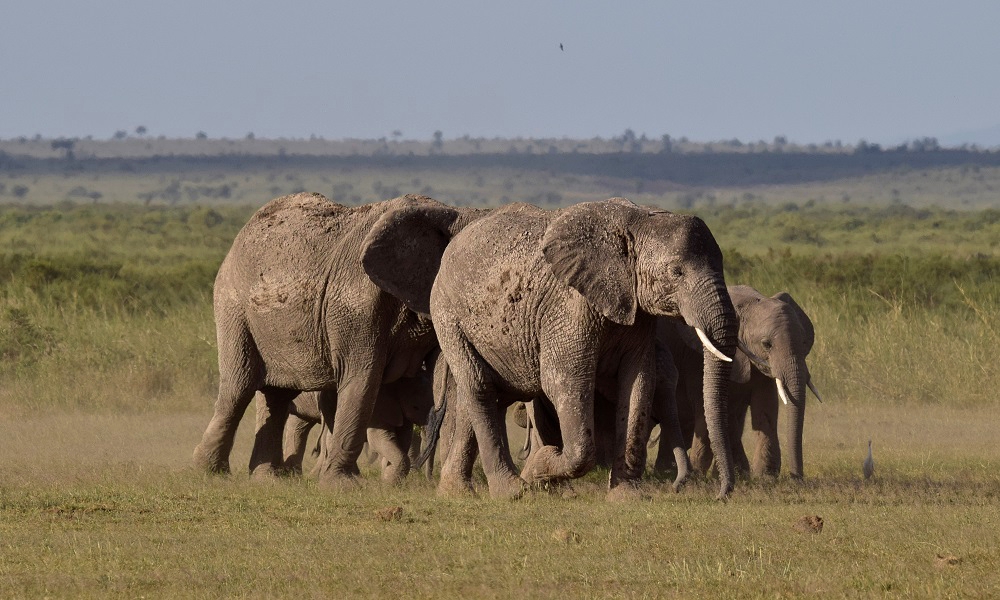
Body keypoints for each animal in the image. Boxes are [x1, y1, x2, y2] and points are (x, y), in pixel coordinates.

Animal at [192, 193, 488, 488]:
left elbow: (453, 383)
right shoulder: (354, 304)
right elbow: (362, 376)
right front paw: (342, 485)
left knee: (276, 396)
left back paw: (267, 478)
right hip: (233, 305)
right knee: (238, 387)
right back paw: (210, 472)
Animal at [378, 199, 740, 500]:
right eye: (676, 272)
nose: (721, 496)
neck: (636, 221)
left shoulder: (635, 310)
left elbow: (638, 382)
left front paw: (627, 498)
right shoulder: (568, 305)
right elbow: (564, 381)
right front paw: (540, 466)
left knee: (481, 395)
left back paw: (456, 493)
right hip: (448, 314)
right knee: (478, 387)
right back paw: (512, 491)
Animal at [664, 284, 820, 478]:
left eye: (804, 342)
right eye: (766, 344)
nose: (796, 477)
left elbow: (765, 409)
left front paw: (764, 477)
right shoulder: (697, 359)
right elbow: (710, 410)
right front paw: (702, 475)